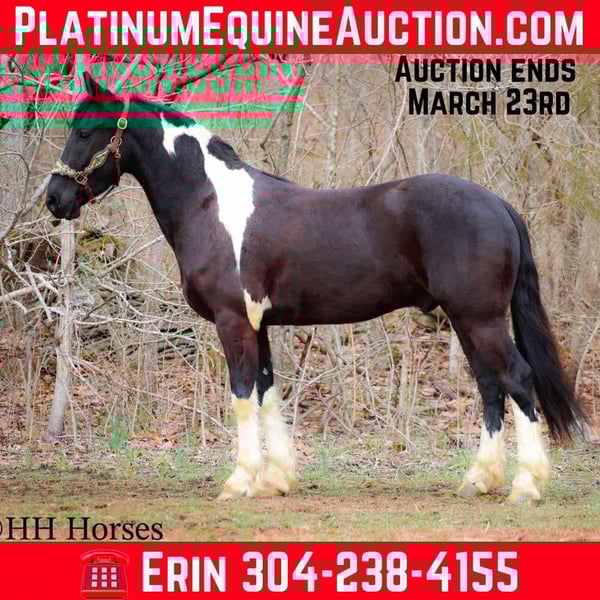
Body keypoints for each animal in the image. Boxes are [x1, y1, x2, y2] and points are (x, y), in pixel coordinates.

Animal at [46, 73, 585, 504]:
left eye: (84, 130)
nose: (55, 198)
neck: (211, 204)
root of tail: (497, 203)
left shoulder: (232, 321)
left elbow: (242, 394)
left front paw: (239, 482)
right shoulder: (258, 324)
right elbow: (267, 391)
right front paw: (275, 480)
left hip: (480, 319)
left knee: (517, 380)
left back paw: (525, 486)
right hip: (467, 321)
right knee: (491, 387)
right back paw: (479, 480)